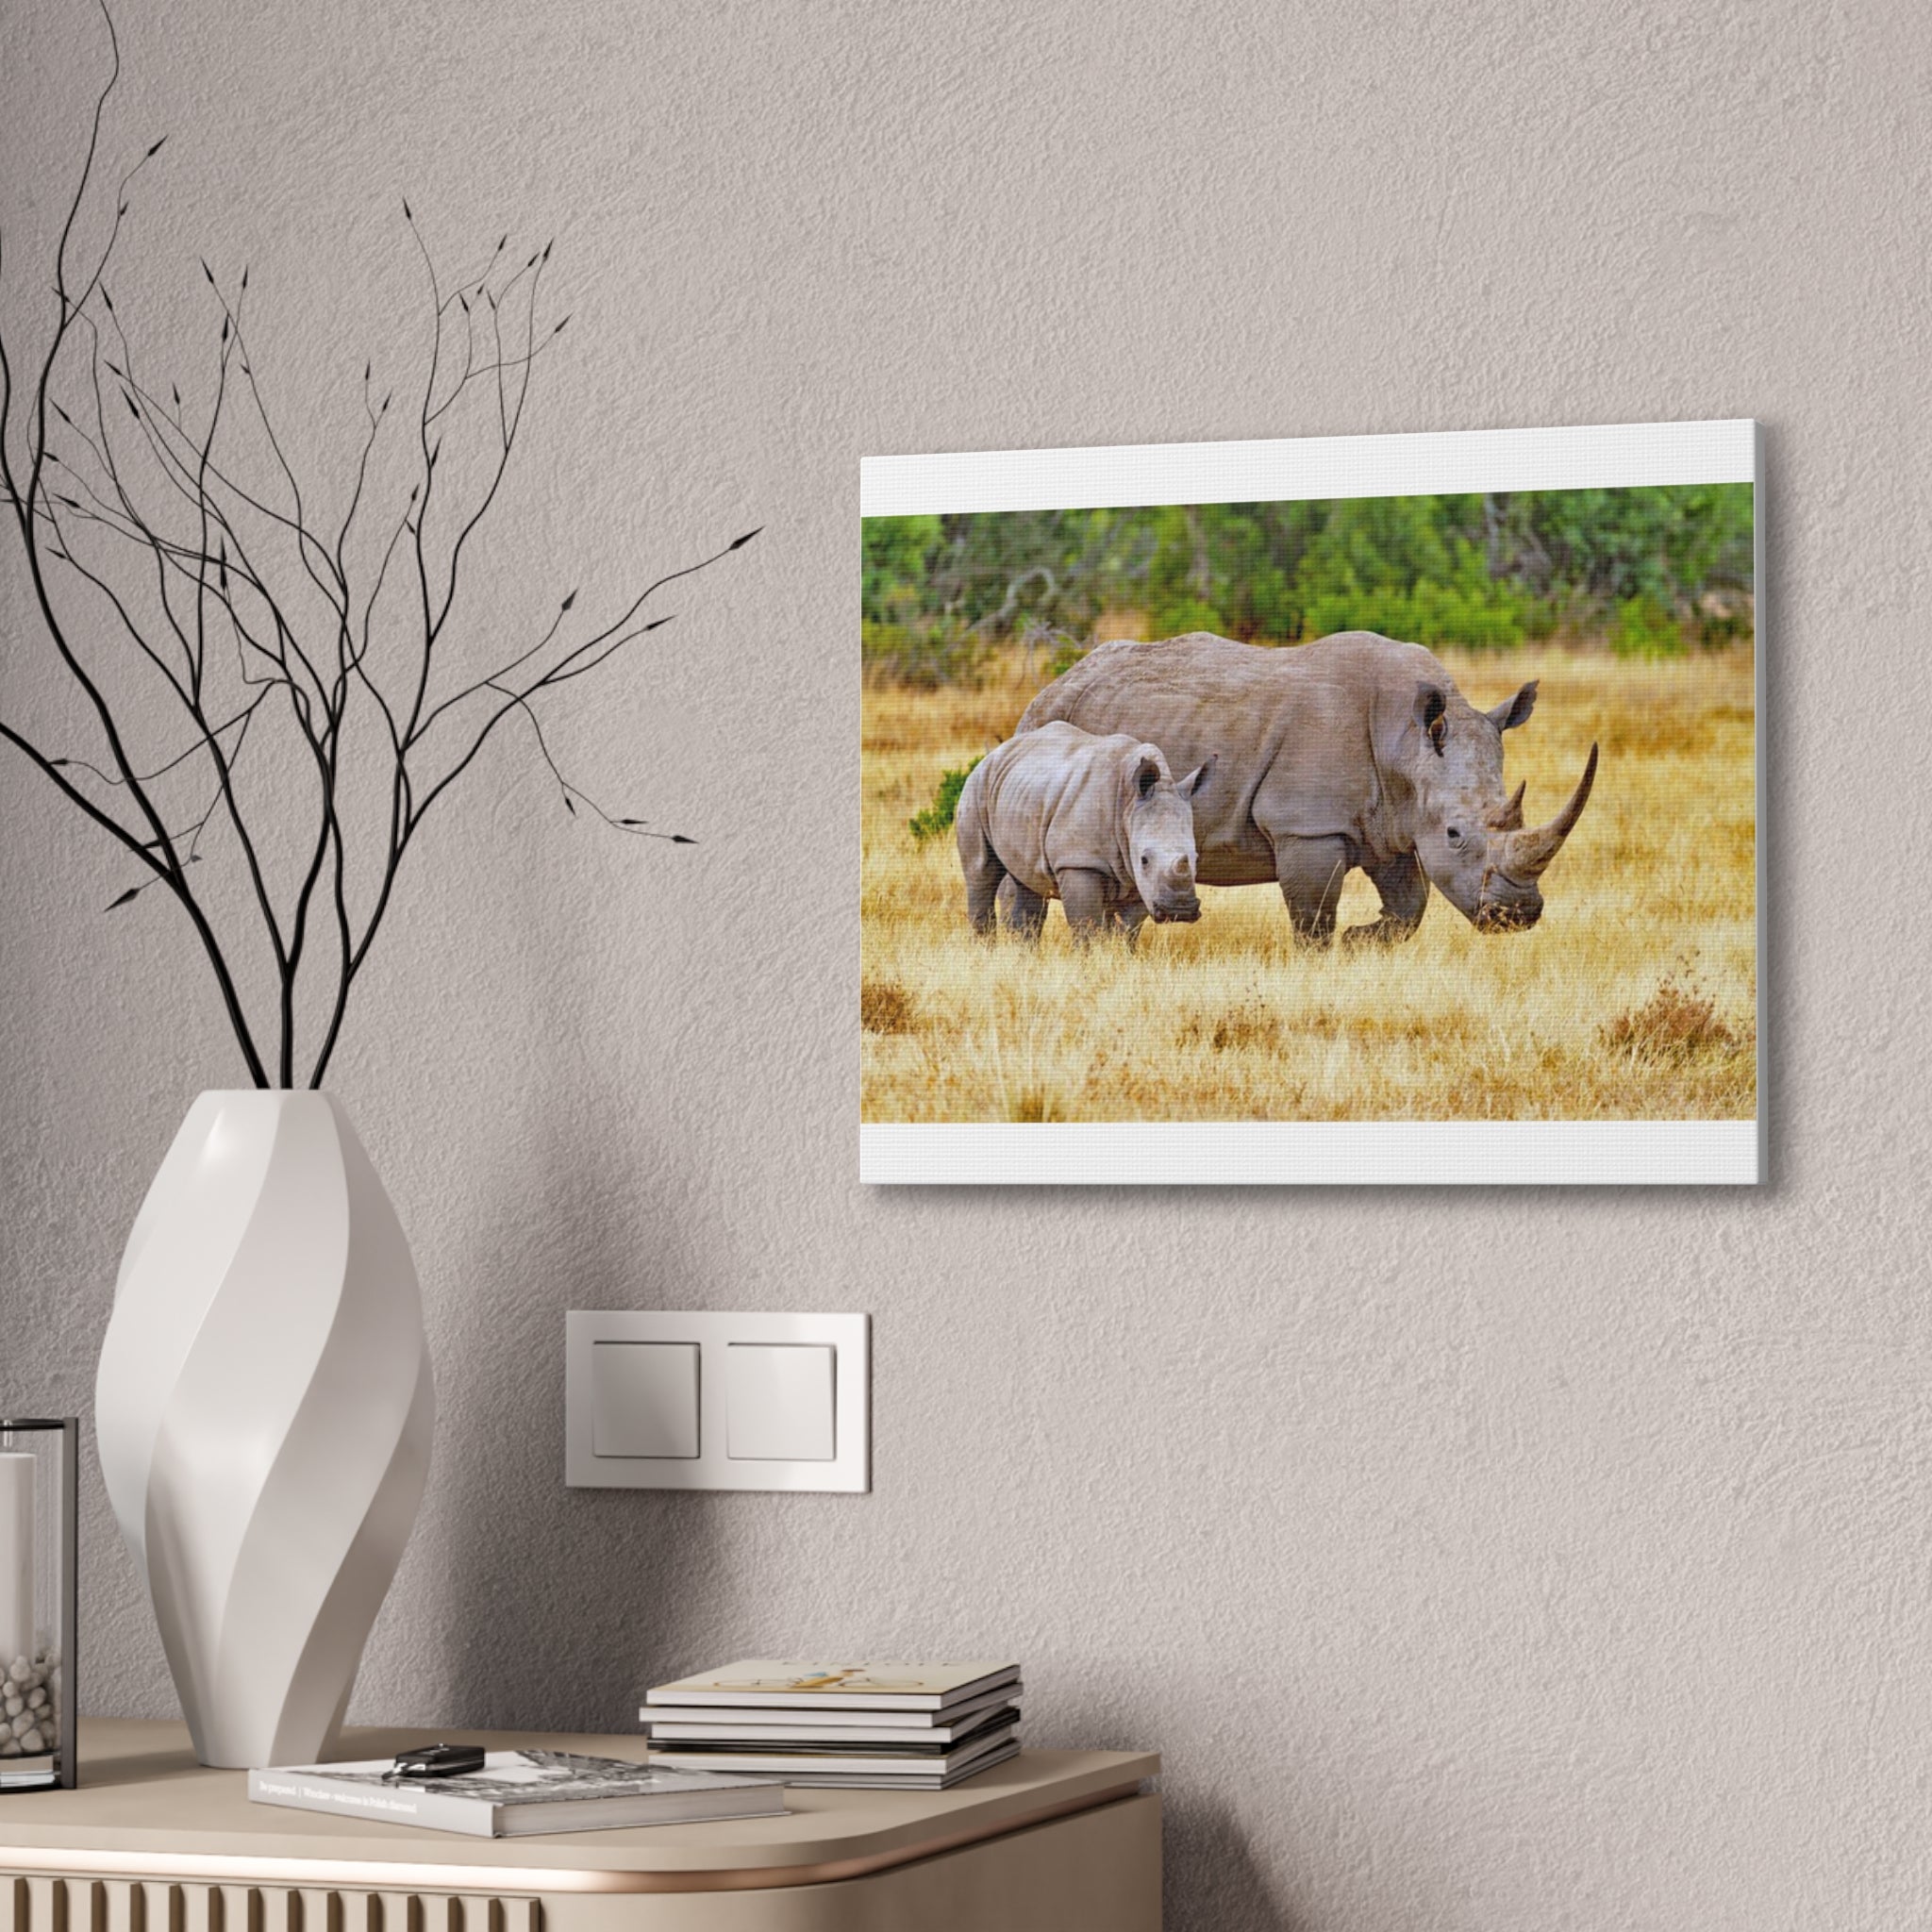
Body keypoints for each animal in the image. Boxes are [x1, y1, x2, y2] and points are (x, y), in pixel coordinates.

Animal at [956, 721, 1214, 942]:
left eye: (1196, 858)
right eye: (1144, 859)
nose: (1179, 911)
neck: (1128, 804)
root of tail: (994, 753)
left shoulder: (1139, 878)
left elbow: (1127, 929)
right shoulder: (1079, 861)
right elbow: (1086, 926)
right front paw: (1087, 960)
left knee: (1027, 883)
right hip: (976, 787)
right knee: (982, 873)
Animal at [1014, 630, 1597, 943]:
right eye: (1455, 834)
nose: (1517, 915)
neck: (1405, 742)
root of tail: (1056, 680)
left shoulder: (1389, 822)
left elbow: (1410, 907)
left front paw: (1363, 940)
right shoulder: (1307, 827)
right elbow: (1314, 917)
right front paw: (1332, 952)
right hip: (1044, 723)